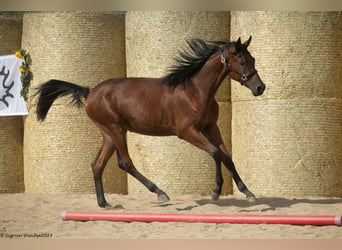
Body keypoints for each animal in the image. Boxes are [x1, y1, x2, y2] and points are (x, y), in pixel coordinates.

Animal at [34, 36, 264, 208]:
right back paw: (160, 193)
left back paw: (104, 204)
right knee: (125, 163)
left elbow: (227, 157)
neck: (195, 91)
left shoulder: (211, 127)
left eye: (253, 59)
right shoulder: (186, 131)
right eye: (242, 62)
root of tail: (89, 91)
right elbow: (216, 153)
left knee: (97, 165)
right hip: (116, 129)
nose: (260, 88)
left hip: (108, 133)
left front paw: (248, 192)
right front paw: (216, 191)